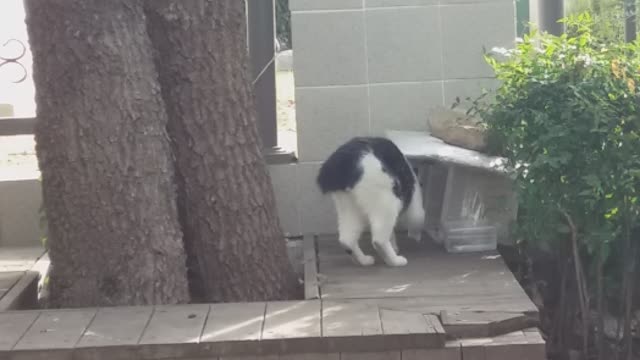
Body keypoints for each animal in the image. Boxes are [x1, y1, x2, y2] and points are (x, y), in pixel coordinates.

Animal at [316, 138, 424, 268]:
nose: (417, 236)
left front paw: (394, 244)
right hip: (387, 201)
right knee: (379, 240)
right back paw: (394, 261)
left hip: (348, 206)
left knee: (346, 239)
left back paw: (364, 261)